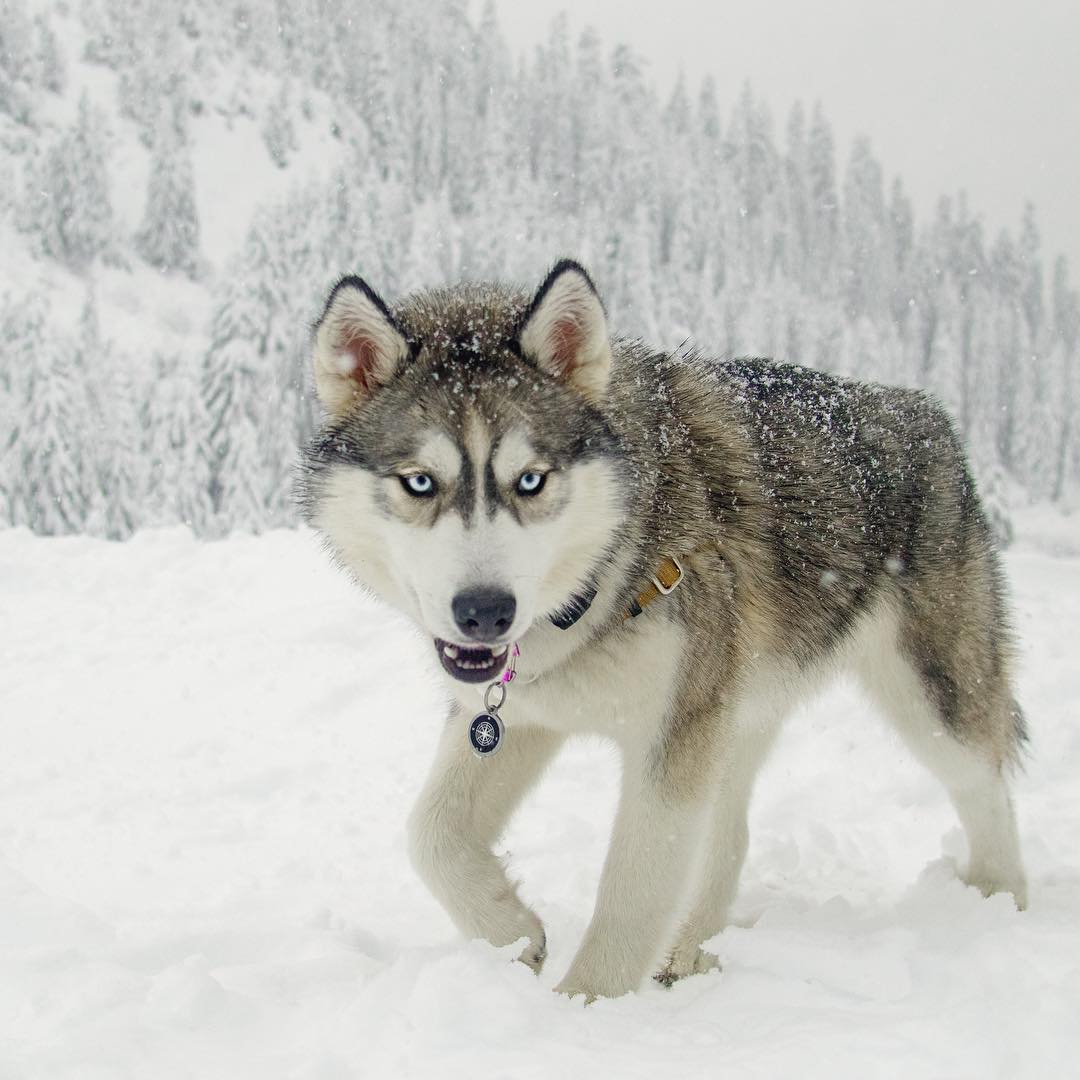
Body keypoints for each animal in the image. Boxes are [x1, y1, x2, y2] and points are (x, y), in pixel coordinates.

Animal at [299, 260, 1027, 1001]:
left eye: (531, 480)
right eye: (419, 482)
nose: (485, 611)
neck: (592, 595)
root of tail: (922, 409)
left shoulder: (669, 735)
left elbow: (633, 890)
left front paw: (583, 1007)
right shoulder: (518, 712)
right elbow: (430, 835)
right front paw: (511, 931)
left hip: (929, 695)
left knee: (984, 782)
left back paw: (1000, 901)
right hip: (736, 711)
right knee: (729, 835)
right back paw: (689, 950)